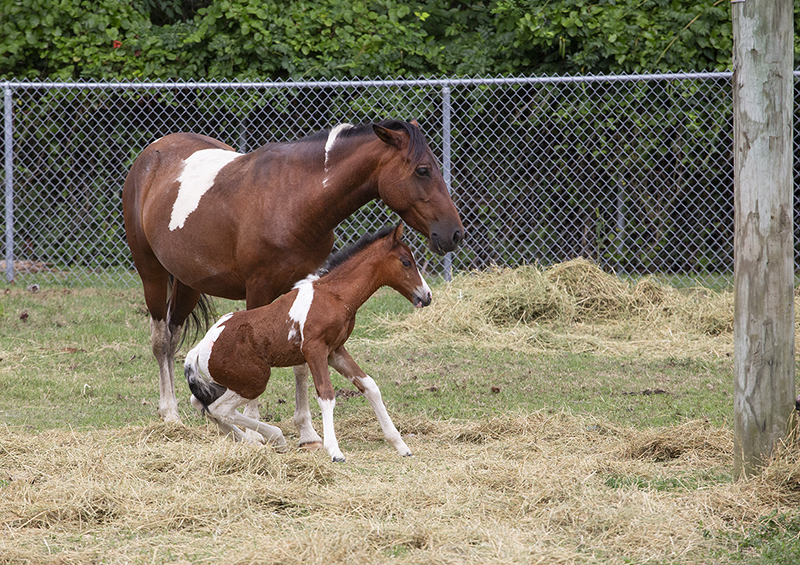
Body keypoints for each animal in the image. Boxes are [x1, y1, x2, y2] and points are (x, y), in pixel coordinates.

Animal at [184, 223, 432, 460]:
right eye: (406, 262)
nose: (426, 295)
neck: (333, 296)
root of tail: (198, 349)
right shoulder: (315, 349)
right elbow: (326, 395)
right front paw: (334, 451)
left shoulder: (335, 351)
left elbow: (369, 386)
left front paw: (401, 446)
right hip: (254, 380)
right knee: (219, 408)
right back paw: (272, 438)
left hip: (227, 382)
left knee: (201, 404)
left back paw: (257, 441)